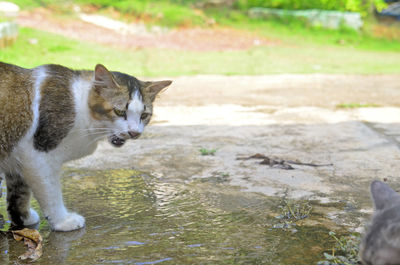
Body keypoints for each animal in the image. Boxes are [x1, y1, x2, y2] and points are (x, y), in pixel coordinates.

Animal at [0, 60, 170, 230]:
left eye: (144, 115)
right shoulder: (38, 155)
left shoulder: (18, 158)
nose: (134, 132)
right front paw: (62, 221)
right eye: (119, 111)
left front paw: (22, 218)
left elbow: (19, 192)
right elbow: (50, 192)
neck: (79, 105)